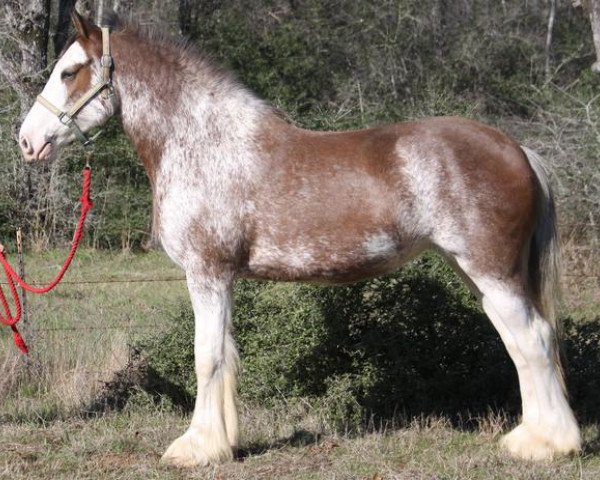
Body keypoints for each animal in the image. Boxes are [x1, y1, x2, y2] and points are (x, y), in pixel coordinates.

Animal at [17, 11, 580, 466]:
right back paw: (530, 437)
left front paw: (194, 449)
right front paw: (225, 443)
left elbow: (207, 356)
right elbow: (226, 354)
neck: (203, 142)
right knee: (518, 341)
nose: (26, 141)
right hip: (479, 274)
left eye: (69, 71)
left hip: (493, 271)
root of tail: (517, 149)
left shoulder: (207, 273)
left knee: (533, 339)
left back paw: (547, 445)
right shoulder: (223, 280)